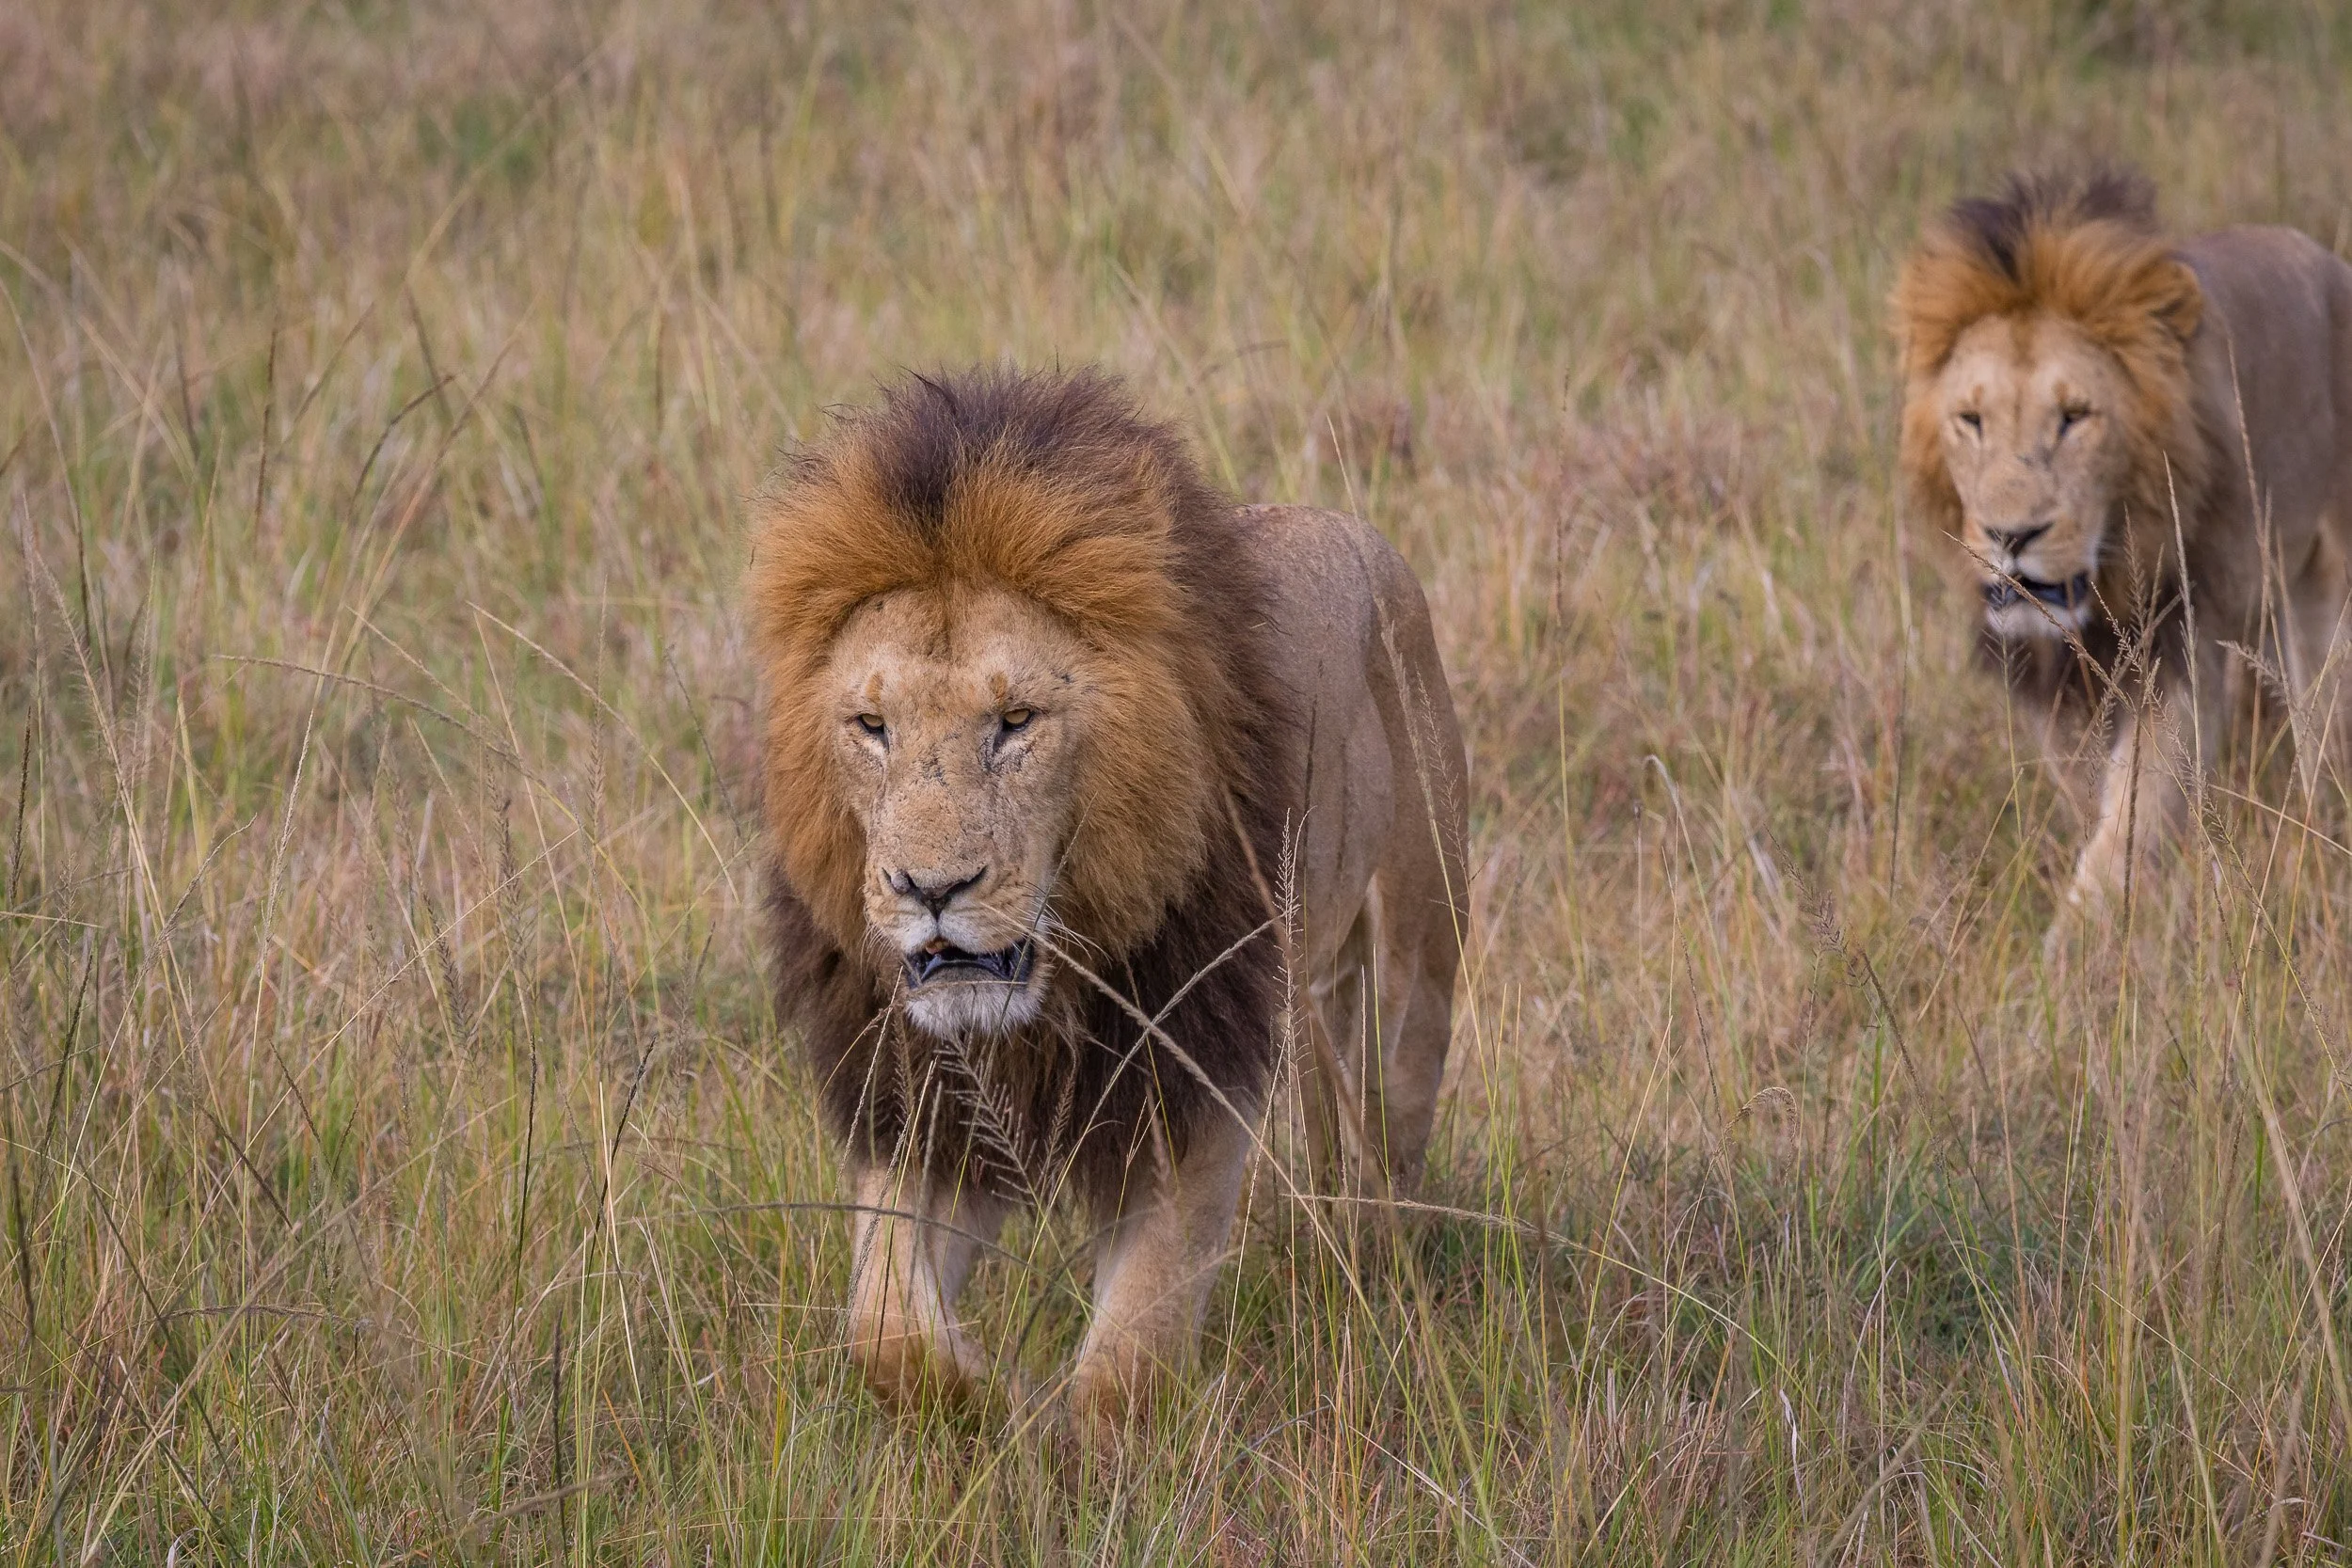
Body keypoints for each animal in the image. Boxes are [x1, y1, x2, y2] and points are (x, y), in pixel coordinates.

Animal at [746, 367, 1467, 1436]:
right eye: (872, 725)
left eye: (1016, 721)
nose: (930, 889)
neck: (1045, 998)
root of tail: (1360, 532)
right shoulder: (926, 1104)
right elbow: (886, 1328)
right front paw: (993, 1400)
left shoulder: (1191, 1086)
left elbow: (1131, 1358)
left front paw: (1071, 1443)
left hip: (1414, 967)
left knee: (1391, 1154)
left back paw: (1372, 1281)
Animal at [1894, 169, 2352, 919]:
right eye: (1971, 419)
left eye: (2075, 417)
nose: (2010, 536)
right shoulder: (2048, 674)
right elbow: (2091, 795)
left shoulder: (2182, 641)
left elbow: (2134, 816)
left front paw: (2082, 938)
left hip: (2321, 594)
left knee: (2323, 723)